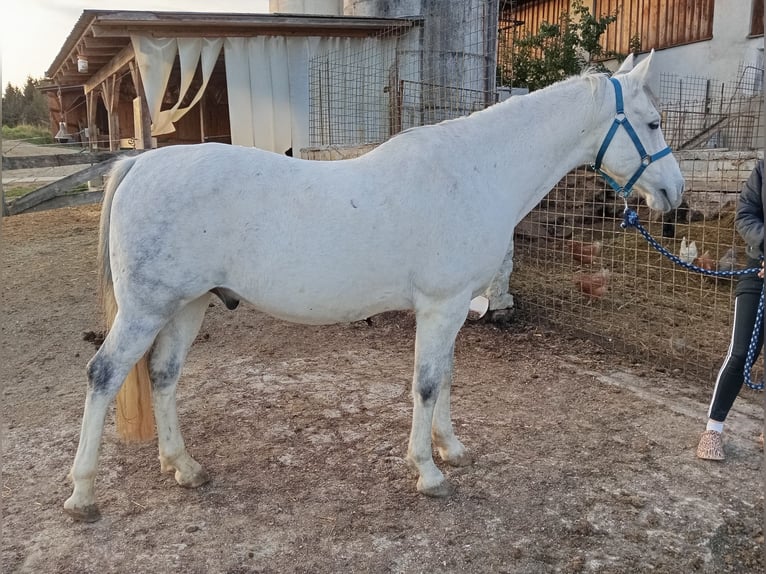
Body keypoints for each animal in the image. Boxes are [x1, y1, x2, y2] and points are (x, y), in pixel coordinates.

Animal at [64, 52, 684, 521]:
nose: (674, 194)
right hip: (146, 309)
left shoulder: (453, 309)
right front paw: (428, 472)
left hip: (187, 306)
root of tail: (140, 165)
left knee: (163, 376)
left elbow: (447, 377)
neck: (474, 171)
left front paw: (451, 448)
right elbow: (427, 385)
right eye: (653, 123)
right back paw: (83, 494)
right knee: (103, 375)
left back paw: (184, 466)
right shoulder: (439, 307)